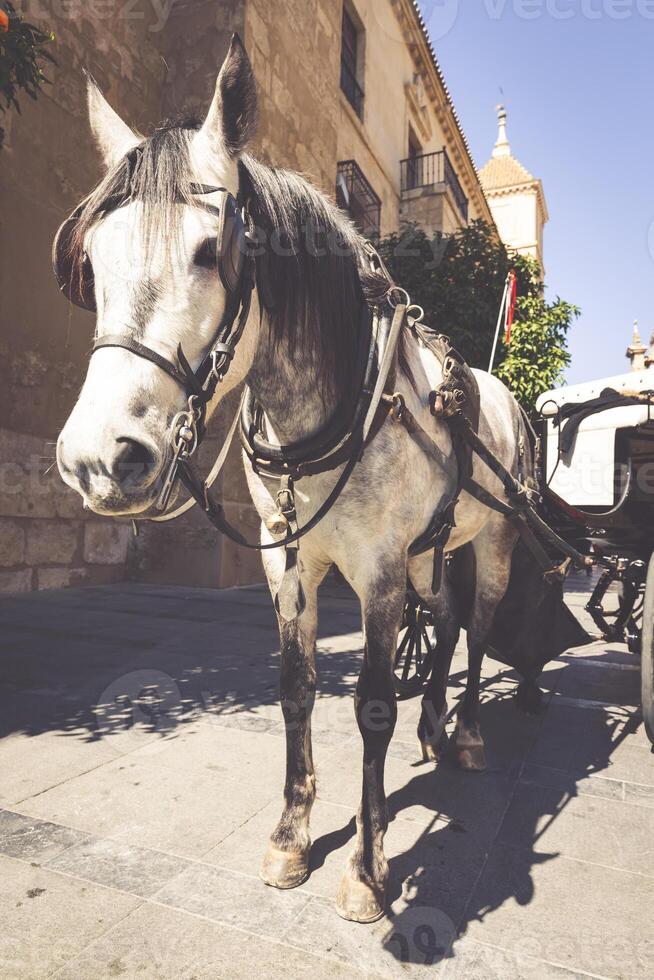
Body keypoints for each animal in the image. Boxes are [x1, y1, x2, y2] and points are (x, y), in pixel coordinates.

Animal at [57, 38, 532, 924]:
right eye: (93, 263)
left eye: (211, 252)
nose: (101, 458)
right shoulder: (289, 561)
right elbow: (297, 687)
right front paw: (291, 834)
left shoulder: (379, 570)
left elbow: (371, 704)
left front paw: (368, 868)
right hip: (434, 547)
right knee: (448, 623)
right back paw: (434, 725)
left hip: (496, 540)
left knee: (480, 627)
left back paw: (469, 734)